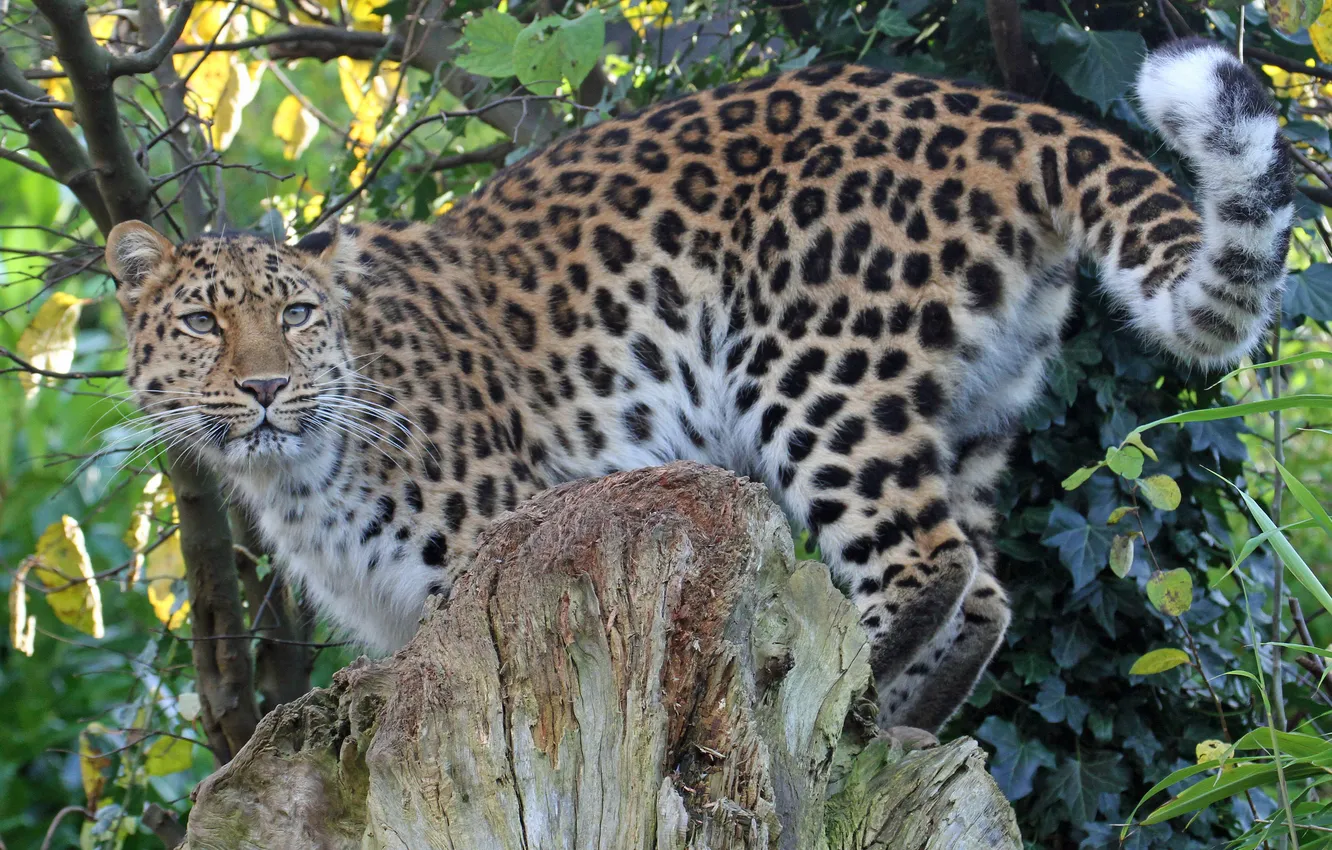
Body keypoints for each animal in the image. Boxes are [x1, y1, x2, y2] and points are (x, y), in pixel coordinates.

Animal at [104, 38, 1292, 733]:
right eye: (205, 322)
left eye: (297, 316)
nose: (265, 388)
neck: (301, 470)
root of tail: (991, 112)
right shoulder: (405, 627)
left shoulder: (487, 548)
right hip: (978, 408)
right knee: (989, 589)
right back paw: (891, 723)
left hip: (814, 370)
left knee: (926, 561)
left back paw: (830, 688)